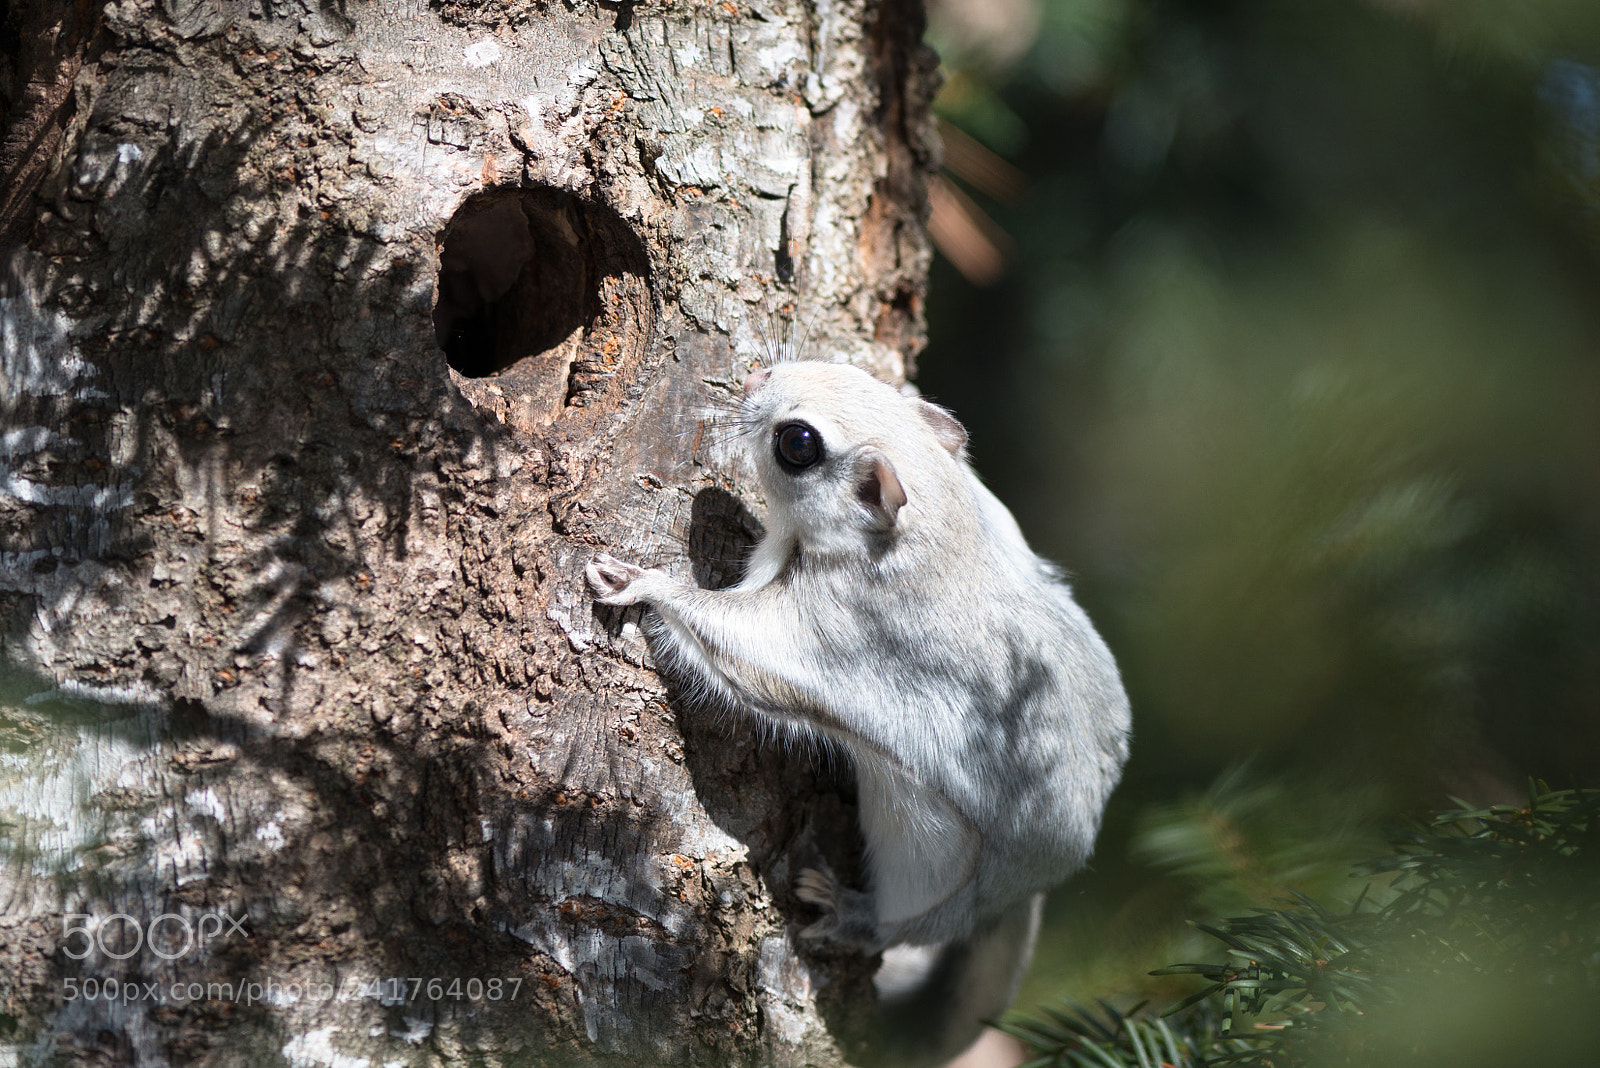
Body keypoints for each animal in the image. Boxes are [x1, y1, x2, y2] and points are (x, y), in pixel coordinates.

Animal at [586, 359, 1131, 1066]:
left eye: (798, 443)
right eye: (854, 371)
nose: (752, 377)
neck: (935, 531)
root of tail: (1031, 887)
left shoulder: (832, 630)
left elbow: (738, 644)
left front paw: (642, 583)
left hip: (930, 865)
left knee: (904, 925)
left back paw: (849, 913)